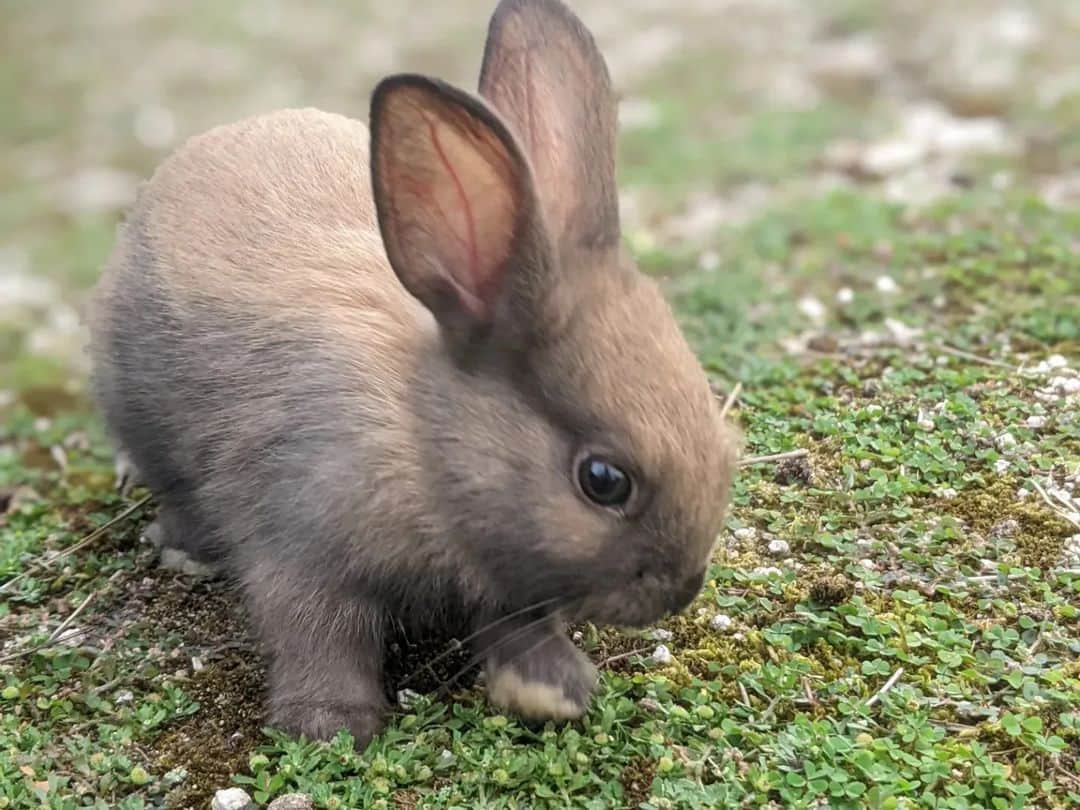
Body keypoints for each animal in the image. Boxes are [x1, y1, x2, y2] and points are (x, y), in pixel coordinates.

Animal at [88, 0, 738, 747]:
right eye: (604, 480)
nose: (682, 589)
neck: (425, 444)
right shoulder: (302, 545)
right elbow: (316, 631)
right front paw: (330, 724)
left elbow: (518, 623)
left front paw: (552, 691)